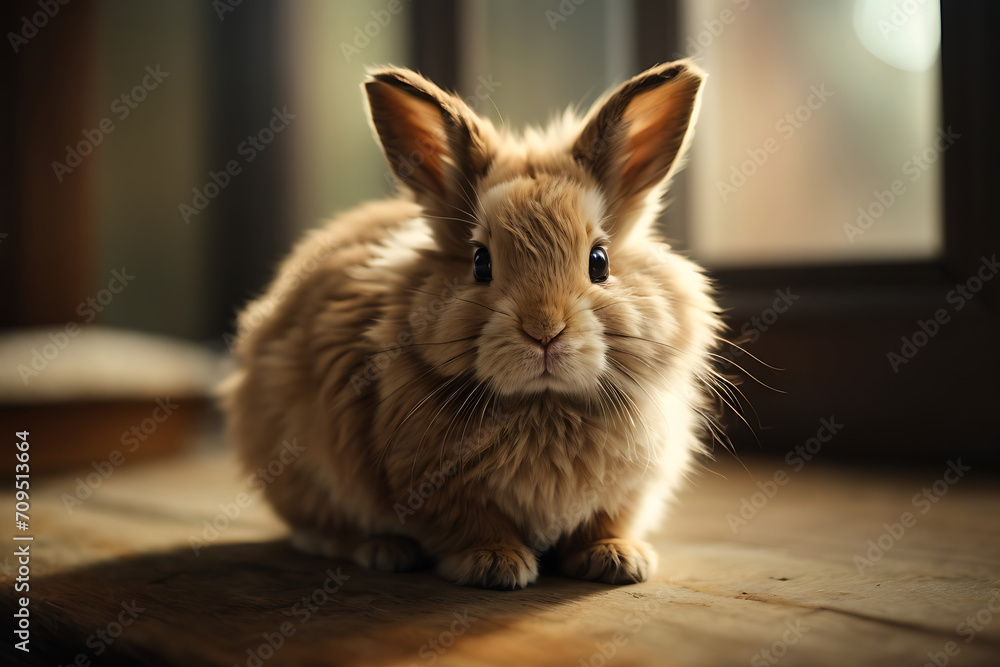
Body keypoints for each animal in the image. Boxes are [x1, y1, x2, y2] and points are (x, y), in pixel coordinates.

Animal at [223, 59, 723, 589]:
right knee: (316, 527)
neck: (544, 402)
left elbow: (606, 520)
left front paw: (617, 559)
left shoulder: (627, 490)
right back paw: (383, 551)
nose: (544, 330)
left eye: (600, 261)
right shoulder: (432, 485)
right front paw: (496, 565)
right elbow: (471, 524)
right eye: (481, 262)